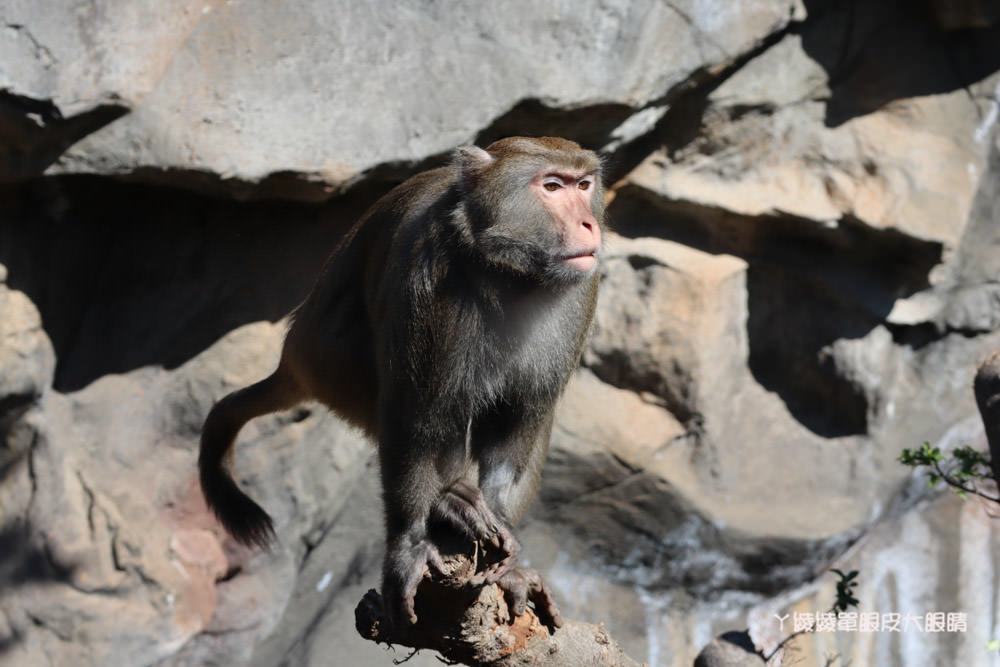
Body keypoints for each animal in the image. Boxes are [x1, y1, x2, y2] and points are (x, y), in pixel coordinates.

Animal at [195, 137, 600, 632]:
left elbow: (519, 422)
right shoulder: (429, 273)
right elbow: (415, 417)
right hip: (338, 371)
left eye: (584, 185)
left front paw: (506, 546)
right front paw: (408, 547)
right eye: (553, 186)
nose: (589, 222)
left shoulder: (582, 289)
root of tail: (293, 359)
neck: (508, 270)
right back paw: (448, 500)